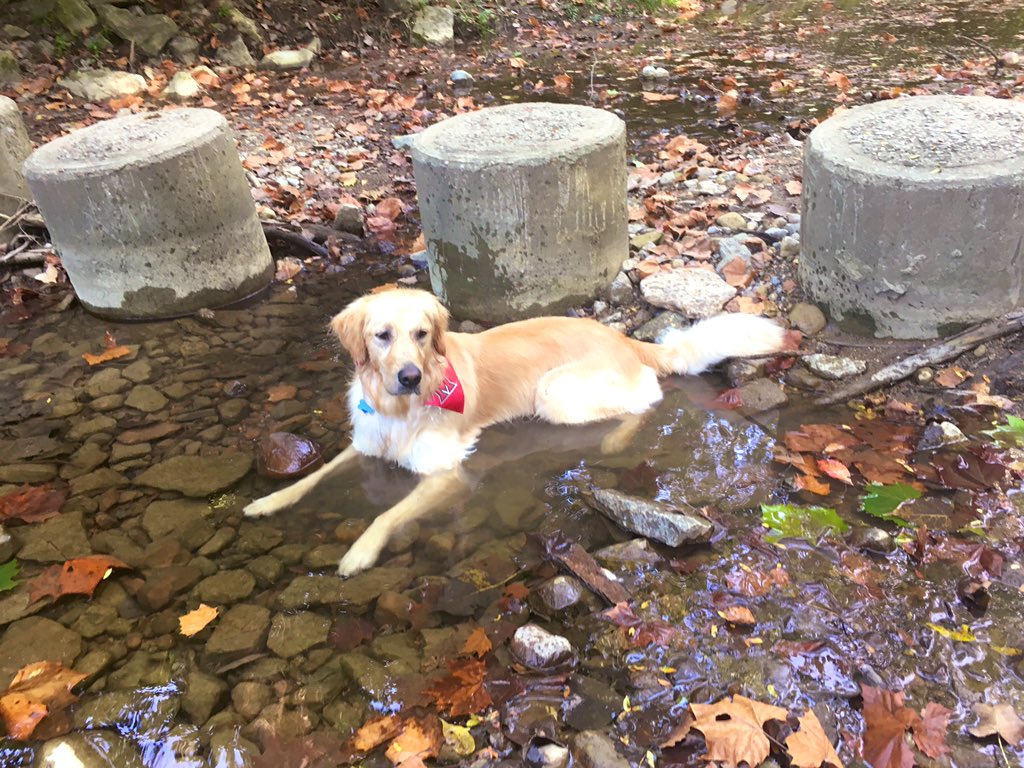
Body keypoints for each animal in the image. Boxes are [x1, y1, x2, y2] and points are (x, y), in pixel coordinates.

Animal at [243, 288, 786, 577]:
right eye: (382, 336)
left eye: (421, 334)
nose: (410, 376)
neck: (400, 408)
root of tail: (622, 337)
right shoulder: (366, 445)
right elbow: (312, 477)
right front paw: (267, 501)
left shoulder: (445, 474)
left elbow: (387, 515)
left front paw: (359, 552)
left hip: (554, 392)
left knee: (644, 404)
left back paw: (615, 439)